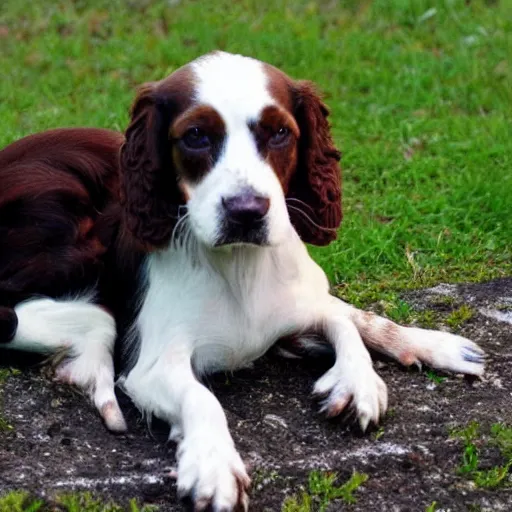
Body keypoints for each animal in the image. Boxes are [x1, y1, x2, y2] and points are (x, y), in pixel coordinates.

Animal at [0, 53, 486, 512]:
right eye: (196, 135)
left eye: (279, 133)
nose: (246, 212)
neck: (240, 266)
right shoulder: (152, 365)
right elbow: (202, 398)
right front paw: (213, 468)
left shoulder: (294, 307)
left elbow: (344, 319)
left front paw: (363, 379)